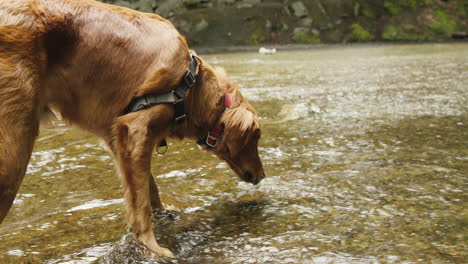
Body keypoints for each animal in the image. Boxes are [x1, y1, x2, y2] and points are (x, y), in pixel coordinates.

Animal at [0, 0, 264, 260]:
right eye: (256, 138)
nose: (262, 176)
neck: (191, 88)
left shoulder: (121, 141)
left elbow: (149, 187)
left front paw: (164, 214)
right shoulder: (135, 128)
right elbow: (140, 203)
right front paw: (151, 247)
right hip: (14, 149)